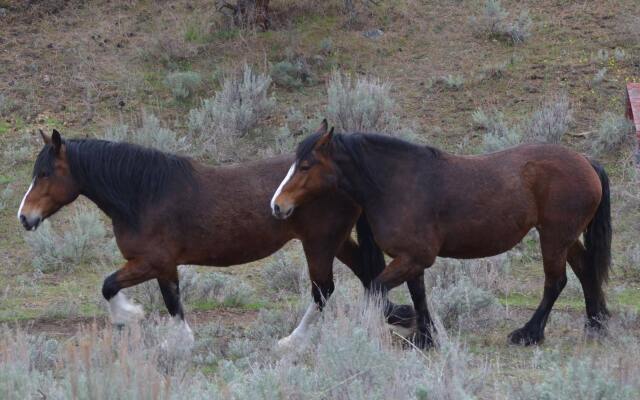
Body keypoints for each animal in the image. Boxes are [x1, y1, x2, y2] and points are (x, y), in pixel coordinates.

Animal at [20, 126, 412, 348]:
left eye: (45, 173)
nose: (24, 217)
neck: (144, 194)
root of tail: (342, 178)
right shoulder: (161, 265)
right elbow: (168, 299)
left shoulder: (153, 262)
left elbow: (117, 287)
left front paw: (135, 320)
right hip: (335, 241)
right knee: (366, 274)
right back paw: (392, 317)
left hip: (318, 244)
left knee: (324, 291)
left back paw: (292, 341)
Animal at [272, 123, 612, 348]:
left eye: (305, 166)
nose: (277, 205)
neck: (398, 183)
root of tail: (586, 161)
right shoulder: (410, 259)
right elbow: (418, 295)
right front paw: (424, 337)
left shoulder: (414, 258)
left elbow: (377, 290)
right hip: (563, 238)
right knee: (585, 270)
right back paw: (595, 324)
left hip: (553, 238)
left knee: (556, 282)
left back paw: (529, 333)